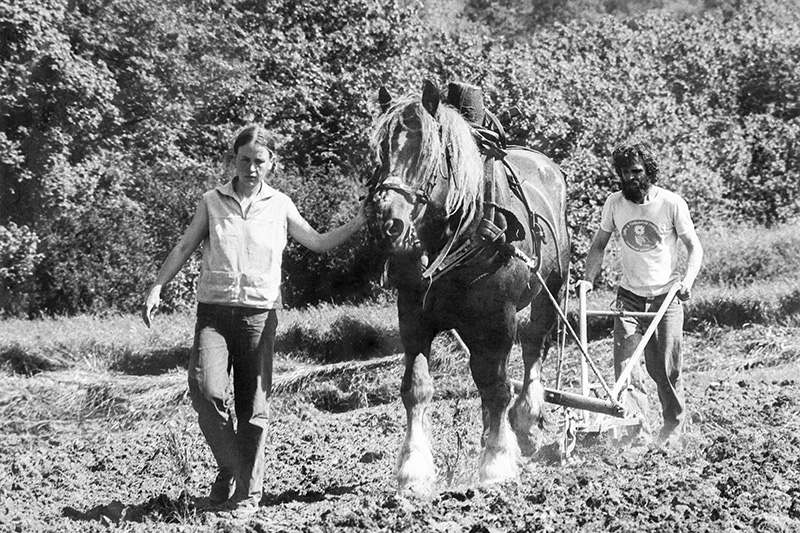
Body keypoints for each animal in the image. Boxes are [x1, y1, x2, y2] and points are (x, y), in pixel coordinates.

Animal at [366, 79, 572, 490]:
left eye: (425, 152)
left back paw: (525, 419)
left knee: (533, 347)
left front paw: (496, 460)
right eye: (380, 152)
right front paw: (413, 466)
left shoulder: (498, 320)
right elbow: (416, 387)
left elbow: (497, 387)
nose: (386, 221)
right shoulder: (413, 318)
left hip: (549, 291)